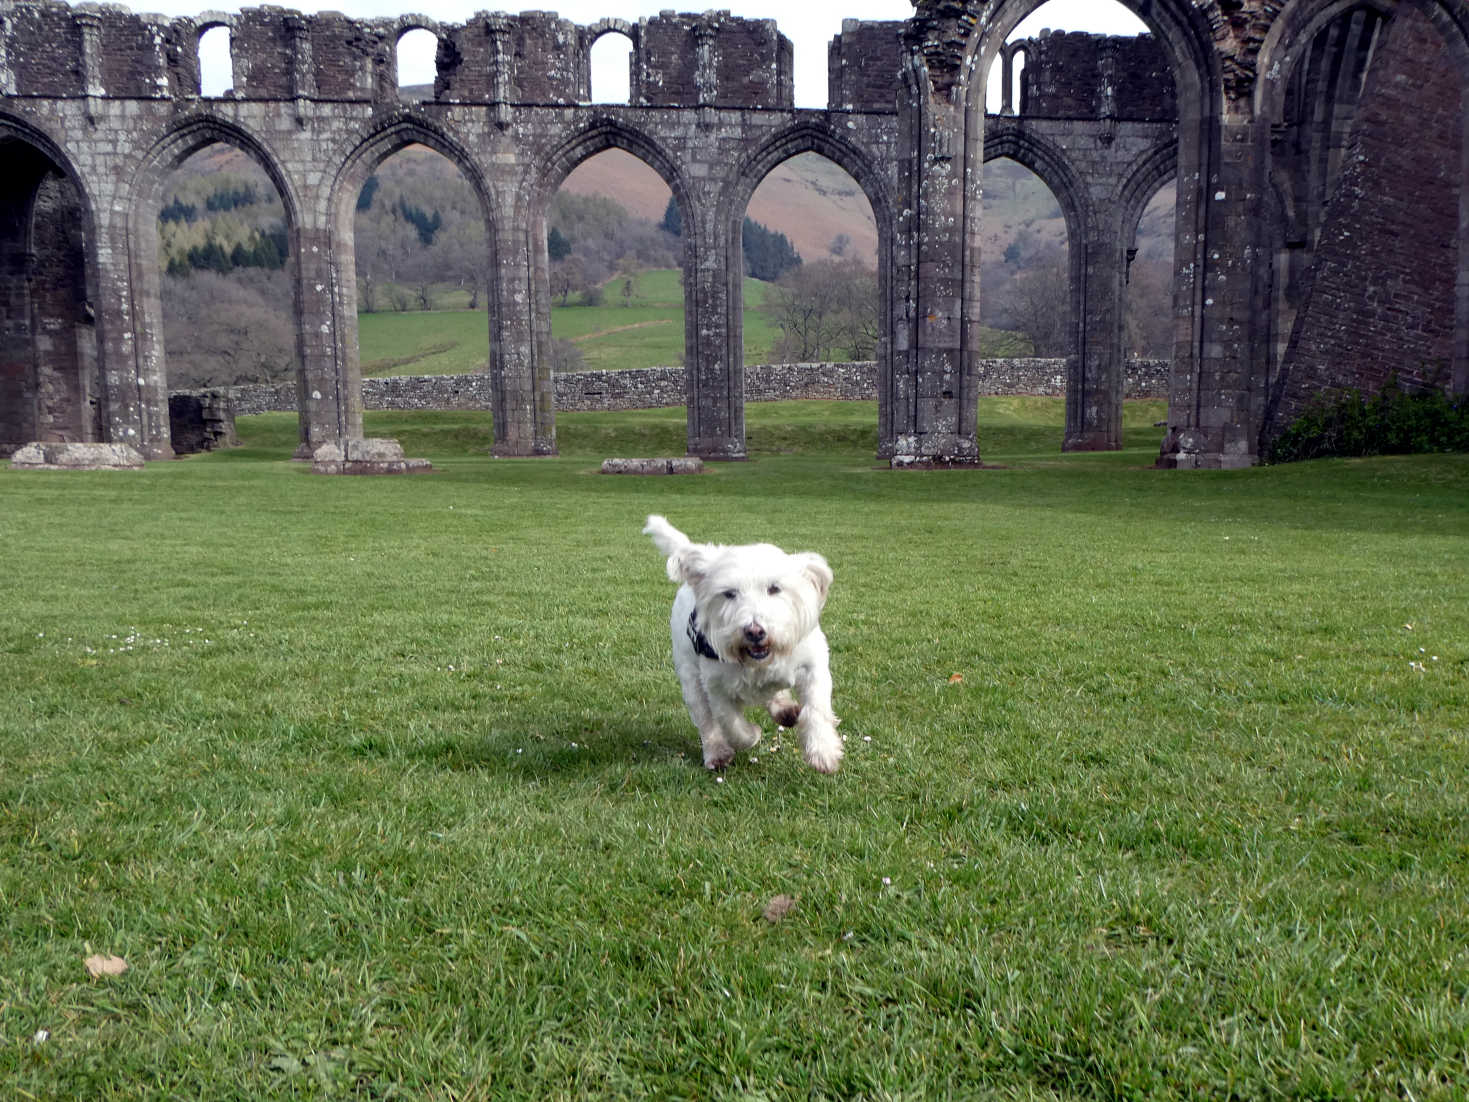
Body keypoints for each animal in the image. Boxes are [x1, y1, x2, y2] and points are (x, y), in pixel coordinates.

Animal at [646, 517, 846, 775]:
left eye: (774, 588)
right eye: (729, 593)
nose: (754, 631)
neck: (759, 662)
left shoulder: (812, 666)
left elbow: (816, 709)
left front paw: (823, 752)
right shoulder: (716, 685)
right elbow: (731, 724)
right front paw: (752, 735)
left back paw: (784, 709)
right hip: (690, 678)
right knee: (706, 721)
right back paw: (717, 753)